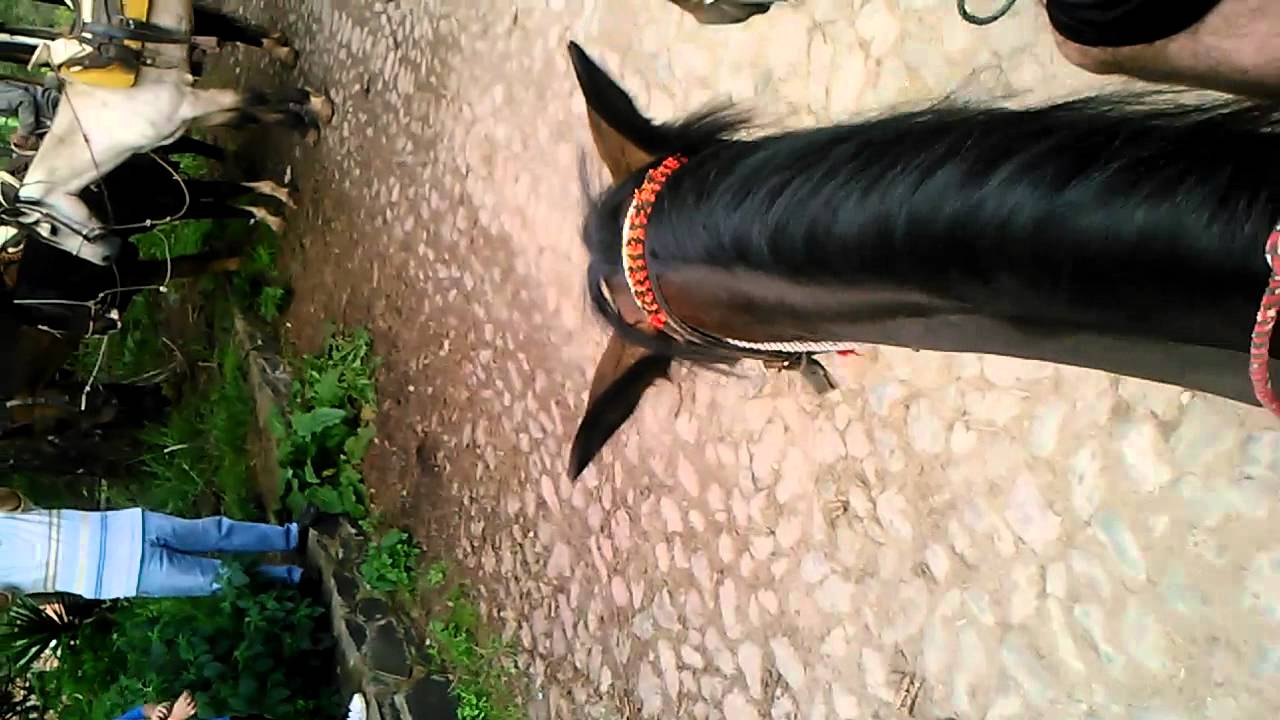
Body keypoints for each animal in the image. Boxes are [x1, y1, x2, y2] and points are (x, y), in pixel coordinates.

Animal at [17, 0, 332, 266]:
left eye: (52, 230)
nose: (107, 258)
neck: (110, 121)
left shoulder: (193, 102)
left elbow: (254, 99)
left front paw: (318, 106)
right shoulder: (194, 113)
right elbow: (249, 115)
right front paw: (302, 128)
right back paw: (283, 51)